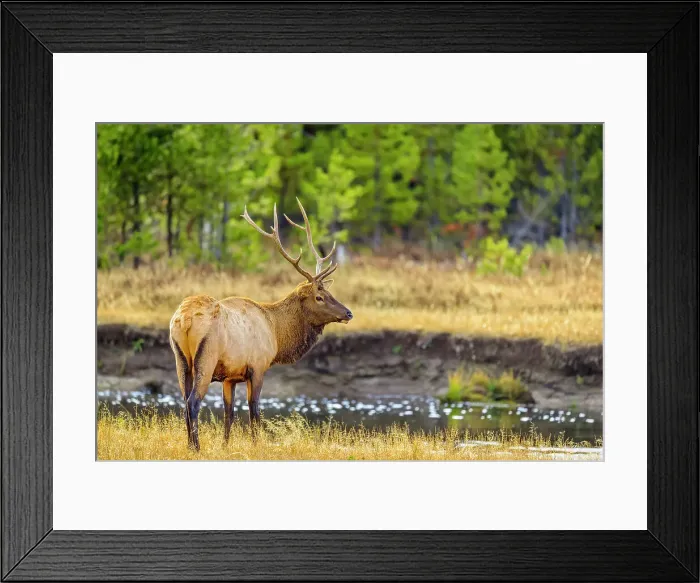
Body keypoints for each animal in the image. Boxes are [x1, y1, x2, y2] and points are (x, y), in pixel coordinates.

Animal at [169, 199, 353, 450]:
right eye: (319, 297)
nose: (348, 312)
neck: (275, 331)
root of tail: (185, 318)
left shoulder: (230, 377)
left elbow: (229, 414)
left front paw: (226, 446)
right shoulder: (257, 367)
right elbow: (254, 411)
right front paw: (256, 445)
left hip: (181, 361)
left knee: (184, 402)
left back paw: (189, 445)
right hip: (206, 358)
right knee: (193, 402)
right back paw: (195, 447)